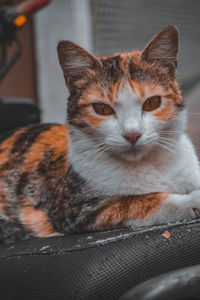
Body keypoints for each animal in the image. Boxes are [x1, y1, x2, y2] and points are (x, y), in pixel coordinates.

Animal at [0, 24, 200, 244]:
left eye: (152, 103)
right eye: (102, 109)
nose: (132, 134)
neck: (151, 163)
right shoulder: (75, 211)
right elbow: (137, 201)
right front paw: (190, 200)